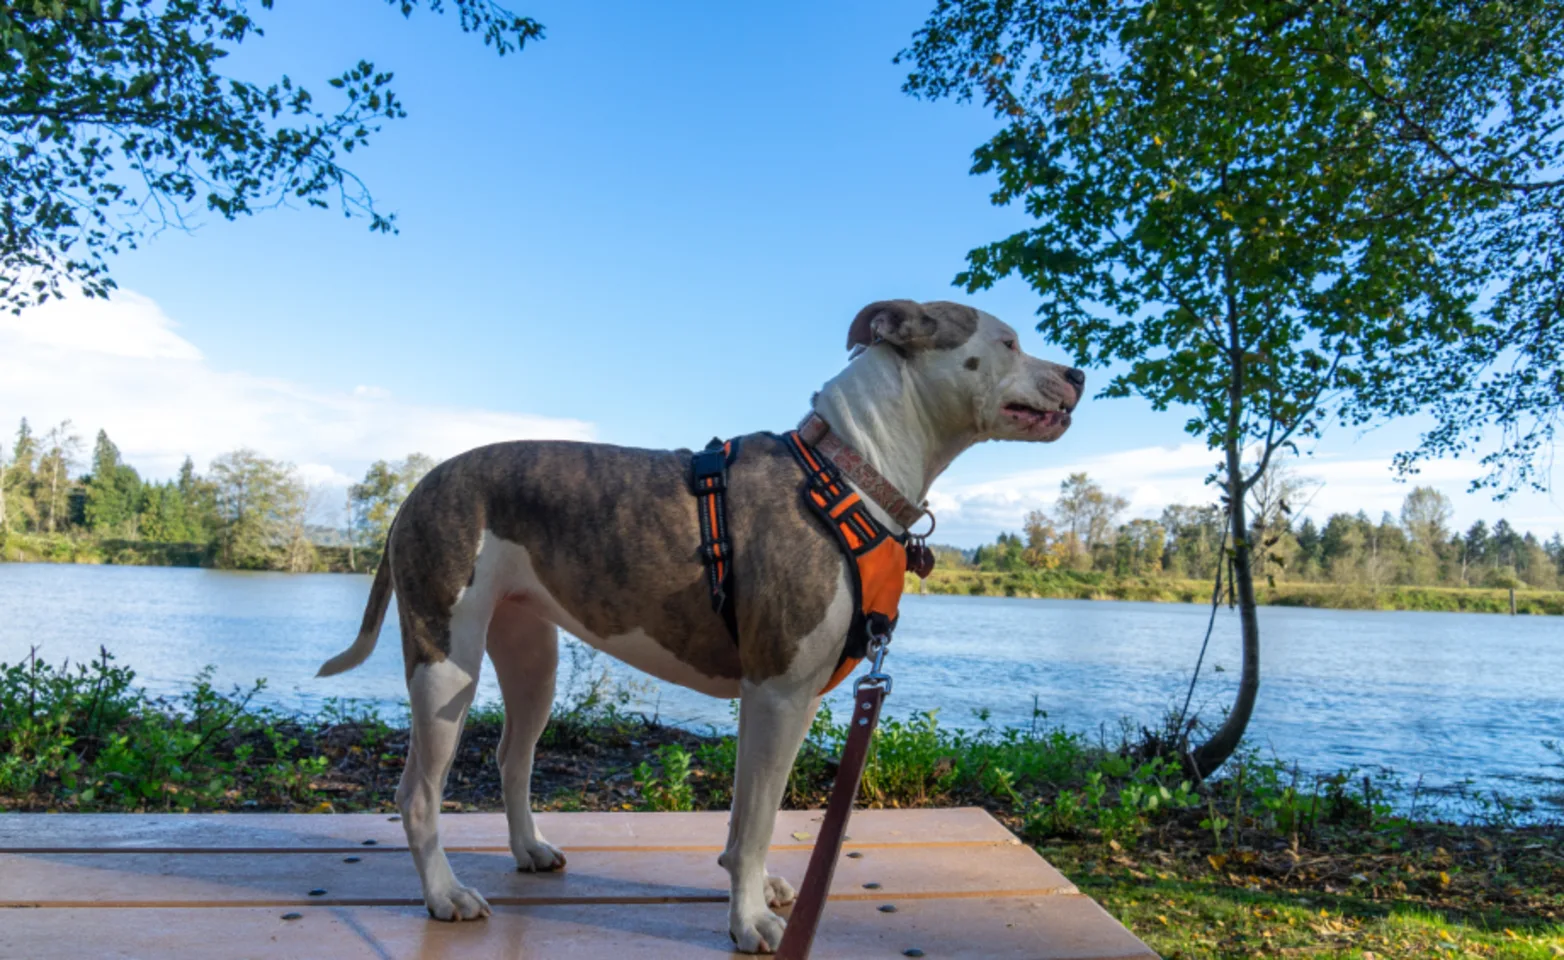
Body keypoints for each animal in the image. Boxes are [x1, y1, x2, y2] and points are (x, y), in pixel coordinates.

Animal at [311, 300, 1082, 956]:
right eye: (1007, 342)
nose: (1078, 373)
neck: (849, 473)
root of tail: (419, 486)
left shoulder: (783, 703)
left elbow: (752, 813)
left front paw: (756, 891)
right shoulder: (775, 693)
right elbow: (758, 818)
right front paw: (750, 921)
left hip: (531, 658)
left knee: (512, 757)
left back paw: (529, 851)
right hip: (444, 665)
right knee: (418, 794)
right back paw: (444, 895)